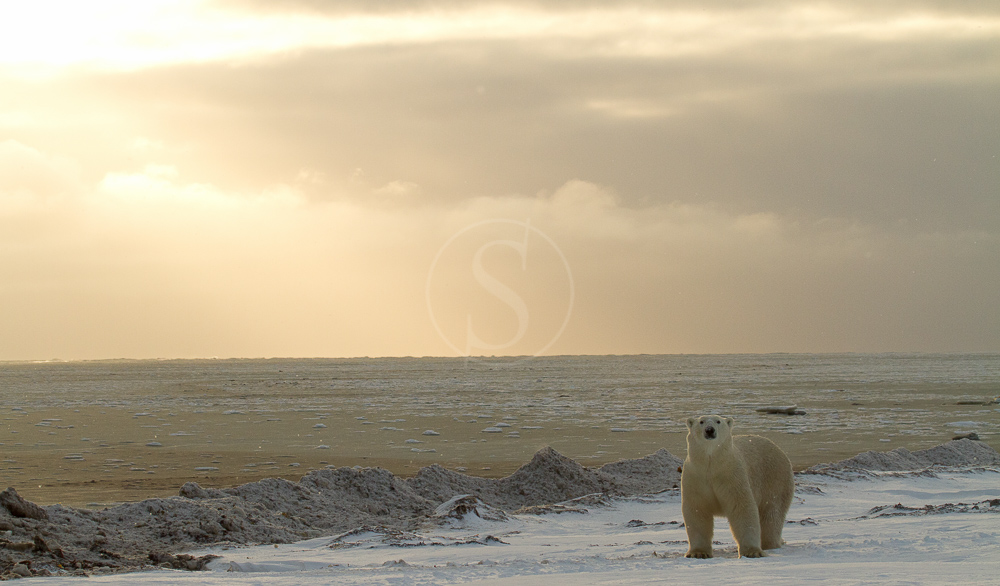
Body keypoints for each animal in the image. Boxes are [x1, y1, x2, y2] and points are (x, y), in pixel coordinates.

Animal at [681, 415, 794, 558]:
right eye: (701, 422)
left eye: (718, 421)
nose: (710, 430)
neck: (711, 466)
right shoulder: (695, 477)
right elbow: (697, 510)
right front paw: (698, 553)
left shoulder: (732, 475)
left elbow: (742, 507)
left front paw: (752, 551)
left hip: (775, 479)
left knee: (772, 513)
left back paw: (770, 544)